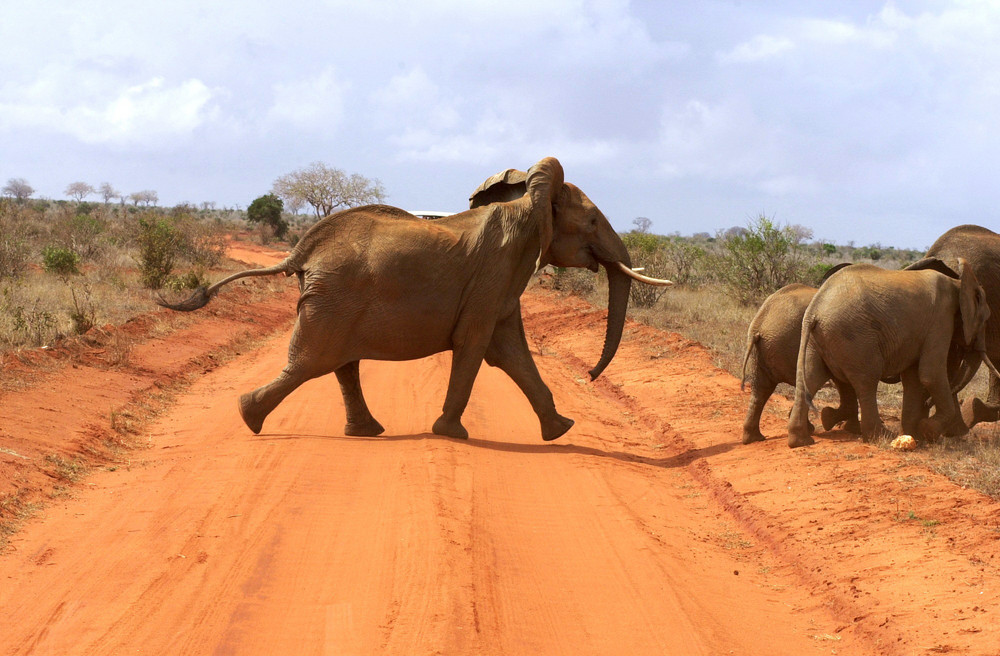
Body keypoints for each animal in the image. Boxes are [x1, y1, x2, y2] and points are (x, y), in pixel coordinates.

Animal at [156, 157, 672, 440]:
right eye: (592, 223)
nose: (591, 377)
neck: (528, 201)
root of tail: (303, 249)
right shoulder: (496, 272)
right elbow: (477, 345)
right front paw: (451, 434)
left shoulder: (503, 283)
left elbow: (509, 351)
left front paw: (562, 430)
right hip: (334, 298)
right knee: (311, 362)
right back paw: (250, 417)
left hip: (336, 299)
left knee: (339, 364)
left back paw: (360, 431)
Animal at [788, 258, 1000, 448]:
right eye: (985, 319)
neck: (958, 282)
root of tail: (814, 311)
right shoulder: (941, 318)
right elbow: (930, 373)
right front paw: (928, 431)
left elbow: (913, 379)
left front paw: (915, 436)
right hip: (854, 337)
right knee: (867, 381)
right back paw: (881, 436)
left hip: (818, 339)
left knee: (810, 378)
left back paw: (801, 441)